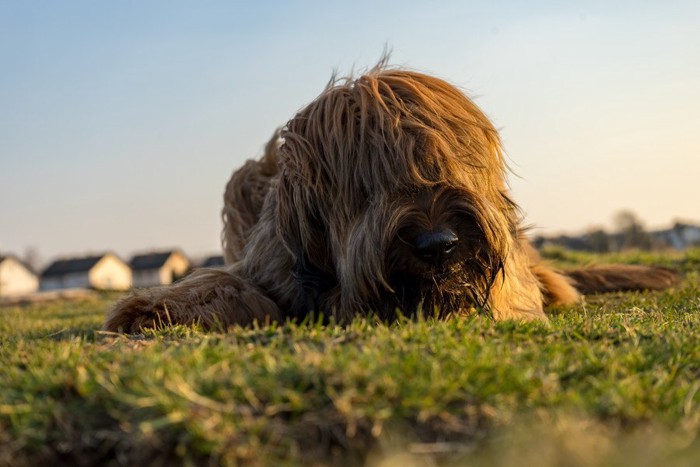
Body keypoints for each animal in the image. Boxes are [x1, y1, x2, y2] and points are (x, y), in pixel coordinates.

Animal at [105, 66, 680, 332]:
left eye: (451, 167)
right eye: (367, 187)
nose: (439, 244)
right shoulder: (267, 265)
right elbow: (224, 284)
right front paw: (150, 309)